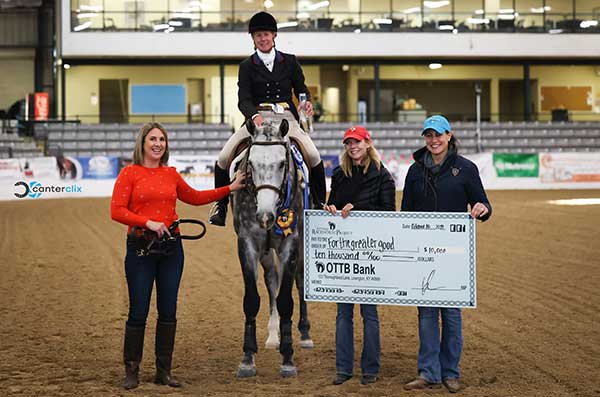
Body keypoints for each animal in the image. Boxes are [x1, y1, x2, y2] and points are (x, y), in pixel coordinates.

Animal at [231, 115, 312, 378]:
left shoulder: (291, 244)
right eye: (251, 164)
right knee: (271, 281)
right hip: (266, 252)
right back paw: (273, 336)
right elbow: (252, 300)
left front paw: (287, 359)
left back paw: (304, 334)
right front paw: (247, 359)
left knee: (299, 282)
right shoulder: (247, 243)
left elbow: (287, 299)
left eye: (281, 164)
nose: (265, 217)